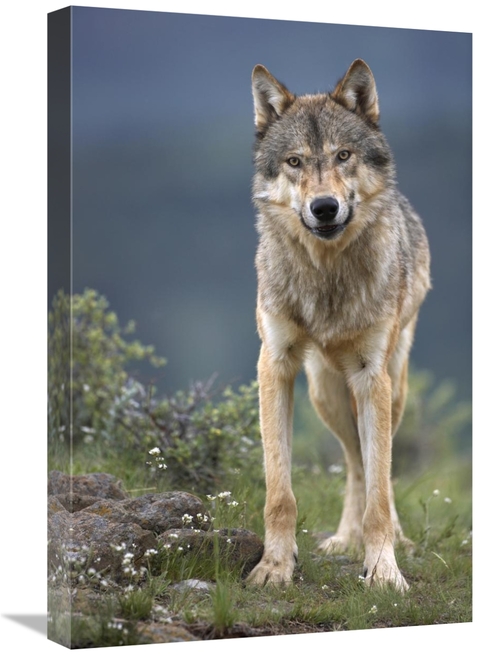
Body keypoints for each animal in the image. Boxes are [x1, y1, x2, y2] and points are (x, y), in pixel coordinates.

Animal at [246, 59, 431, 592]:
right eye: (295, 162)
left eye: (343, 155)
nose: (324, 207)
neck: (326, 279)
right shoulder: (275, 366)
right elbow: (280, 492)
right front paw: (275, 567)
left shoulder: (371, 376)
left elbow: (379, 490)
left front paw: (385, 570)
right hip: (324, 392)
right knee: (353, 461)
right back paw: (346, 541)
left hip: (391, 386)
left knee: (373, 470)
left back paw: (389, 541)